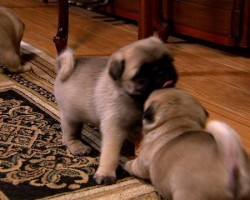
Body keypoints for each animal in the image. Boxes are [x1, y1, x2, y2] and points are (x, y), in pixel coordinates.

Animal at [54, 36, 178, 184]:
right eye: (141, 75)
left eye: (169, 62)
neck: (136, 98)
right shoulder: (114, 129)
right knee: (69, 136)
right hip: (71, 117)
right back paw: (78, 147)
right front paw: (106, 173)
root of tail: (65, 69)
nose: (161, 70)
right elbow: (110, 154)